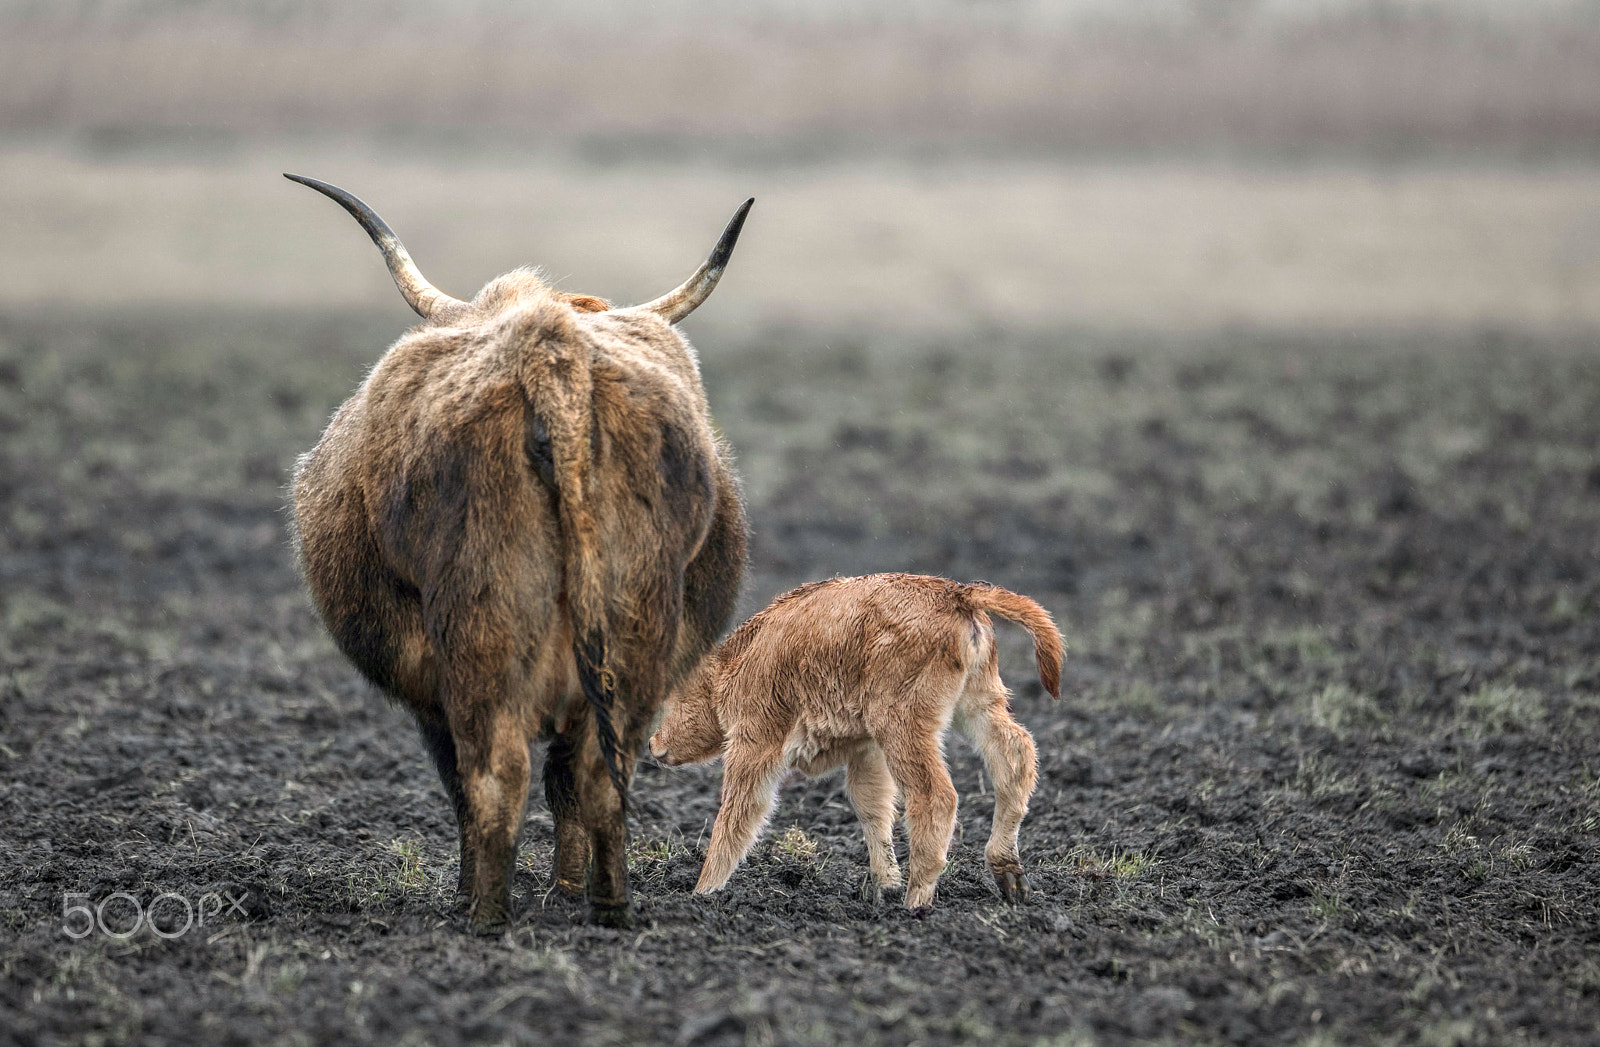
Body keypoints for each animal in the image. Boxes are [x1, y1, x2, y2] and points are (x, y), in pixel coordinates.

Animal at [649, 573, 1062, 909]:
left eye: (673, 696)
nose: (654, 746)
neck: (736, 663)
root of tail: (956, 594)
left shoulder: (755, 746)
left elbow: (737, 815)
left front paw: (702, 891)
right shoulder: (867, 749)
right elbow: (872, 807)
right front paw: (885, 884)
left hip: (904, 727)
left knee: (936, 795)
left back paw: (917, 900)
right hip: (977, 706)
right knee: (1015, 754)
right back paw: (1008, 876)